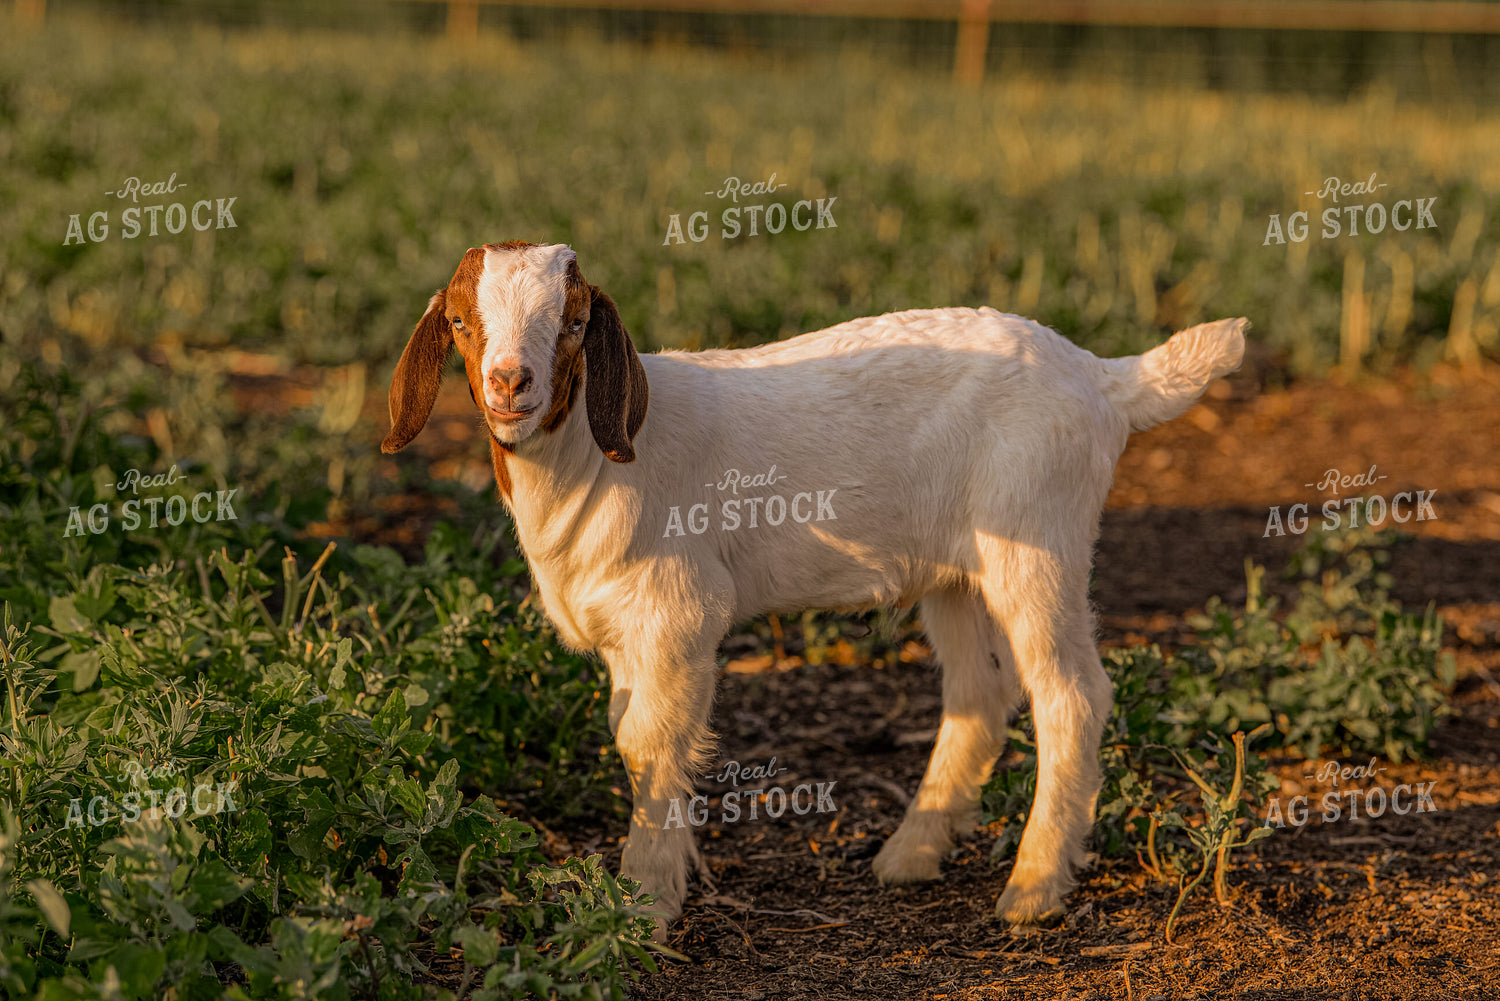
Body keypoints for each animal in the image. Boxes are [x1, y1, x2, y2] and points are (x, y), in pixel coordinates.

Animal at [382, 240, 1248, 932]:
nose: (510, 382)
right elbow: (634, 734)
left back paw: (1033, 888)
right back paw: (913, 851)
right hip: (960, 570)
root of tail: (1103, 378)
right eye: (459, 322)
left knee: (1071, 694)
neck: (586, 464)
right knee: (980, 691)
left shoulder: (676, 611)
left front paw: (646, 901)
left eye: (571, 322)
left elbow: (649, 742)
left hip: (1038, 537)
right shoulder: (626, 629)